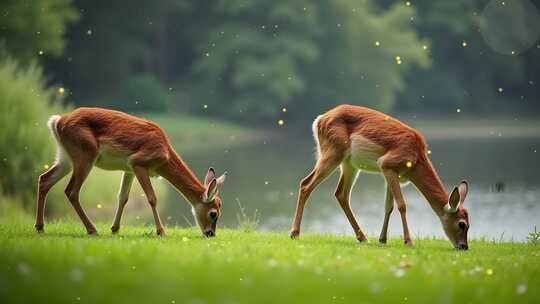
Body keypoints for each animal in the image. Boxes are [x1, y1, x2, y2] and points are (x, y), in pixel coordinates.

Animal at [35, 107, 226, 238]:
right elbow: (152, 198)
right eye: (213, 213)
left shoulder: (129, 169)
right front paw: (161, 231)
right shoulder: (138, 162)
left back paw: (40, 227)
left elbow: (123, 197)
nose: (210, 234)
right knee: (71, 191)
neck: (165, 153)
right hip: (85, 154)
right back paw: (92, 229)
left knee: (44, 179)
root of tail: (57, 122)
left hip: (65, 157)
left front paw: (115, 228)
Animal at [288, 104, 470, 249]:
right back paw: (294, 233)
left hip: (349, 164)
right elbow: (402, 205)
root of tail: (319, 119)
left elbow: (388, 206)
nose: (464, 247)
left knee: (341, 193)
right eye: (462, 224)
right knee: (306, 184)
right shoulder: (387, 163)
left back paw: (363, 237)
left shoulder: (390, 172)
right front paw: (408, 241)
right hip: (333, 152)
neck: (417, 159)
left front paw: (383, 239)